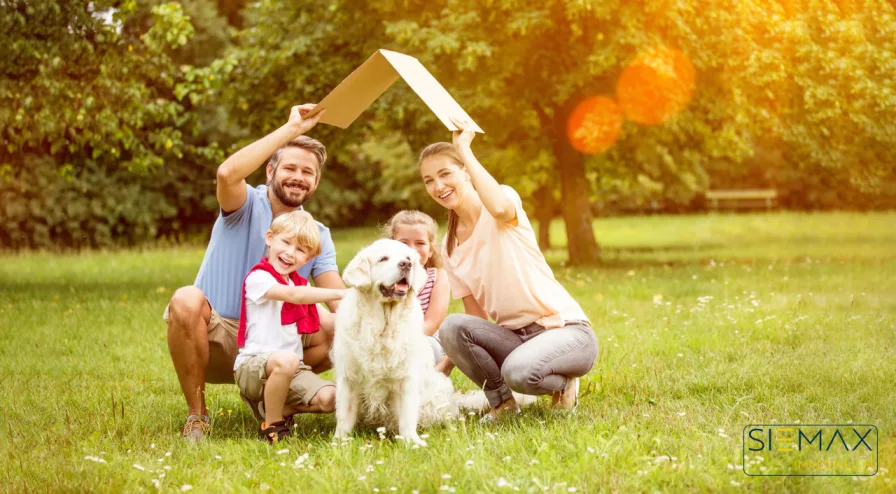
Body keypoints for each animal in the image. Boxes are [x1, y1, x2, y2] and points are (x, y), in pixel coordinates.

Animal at [330, 239, 456, 448]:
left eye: (408, 257)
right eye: (383, 259)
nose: (406, 265)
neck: (383, 326)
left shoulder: (406, 378)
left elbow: (407, 415)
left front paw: (412, 441)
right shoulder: (348, 377)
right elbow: (344, 416)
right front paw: (340, 442)